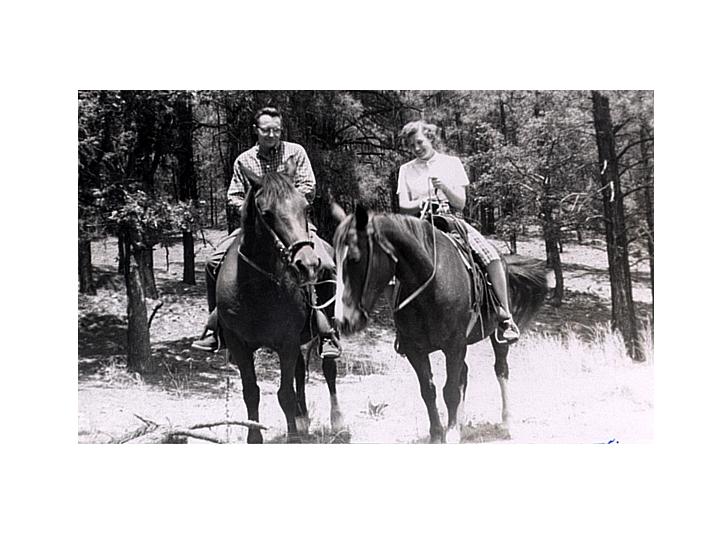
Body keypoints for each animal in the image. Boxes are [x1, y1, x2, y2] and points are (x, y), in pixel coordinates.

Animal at [332, 205, 548, 443]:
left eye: (355, 258)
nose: (343, 320)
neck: (430, 286)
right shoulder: (415, 350)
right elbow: (429, 391)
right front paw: (438, 434)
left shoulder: (454, 346)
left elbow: (450, 391)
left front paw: (450, 434)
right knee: (464, 374)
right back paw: (461, 423)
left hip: (496, 336)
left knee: (501, 370)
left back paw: (506, 421)